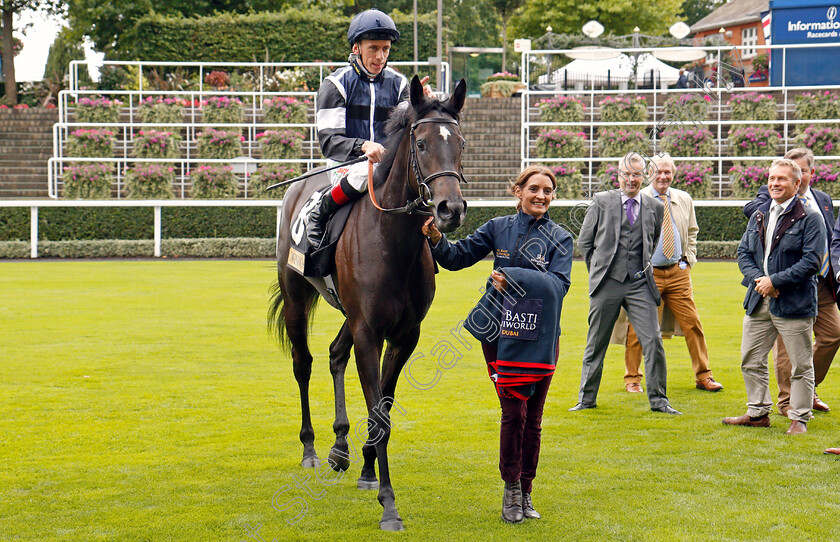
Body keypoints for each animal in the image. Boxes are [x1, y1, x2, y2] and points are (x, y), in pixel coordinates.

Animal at [268, 75, 466, 532]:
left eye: (461, 143)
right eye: (422, 144)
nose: (450, 209)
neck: (393, 241)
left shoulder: (403, 335)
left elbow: (382, 414)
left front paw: (367, 473)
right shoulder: (369, 332)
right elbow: (378, 413)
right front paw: (389, 505)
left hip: (349, 314)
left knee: (335, 353)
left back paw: (340, 446)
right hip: (296, 294)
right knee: (303, 363)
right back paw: (311, 449)